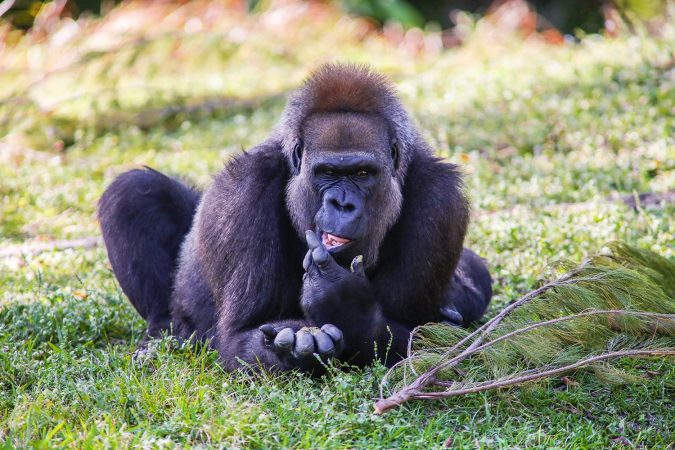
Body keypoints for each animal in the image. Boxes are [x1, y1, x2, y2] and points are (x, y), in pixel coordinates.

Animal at [98, 63, 492, 372]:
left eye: (363, 173)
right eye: (327, 172)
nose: (342, 204)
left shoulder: (441, 201)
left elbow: (425, 337)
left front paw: (350, 309)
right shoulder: (245, 188)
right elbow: (239, 337)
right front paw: (296, 348)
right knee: (133, 192)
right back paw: (160, 336)